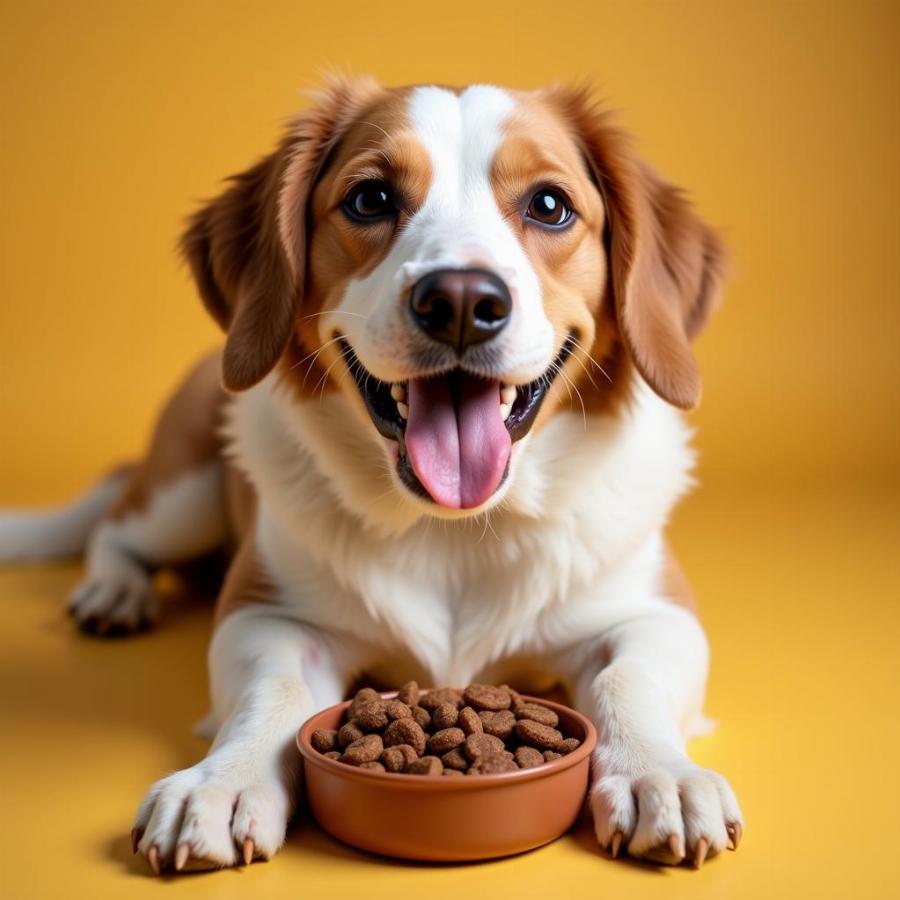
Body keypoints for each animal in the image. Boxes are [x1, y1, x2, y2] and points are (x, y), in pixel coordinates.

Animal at [0, 75, 740, 872]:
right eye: (370, 199)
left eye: (549, 205)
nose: (461, 302)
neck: (454, 533)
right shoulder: (269, 615)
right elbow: (275, 693)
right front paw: (224, 781)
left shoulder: (652, 613)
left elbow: (624, 677)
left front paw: (657, 771)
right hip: (180, 497)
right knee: (113, 524)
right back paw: (114, 589)